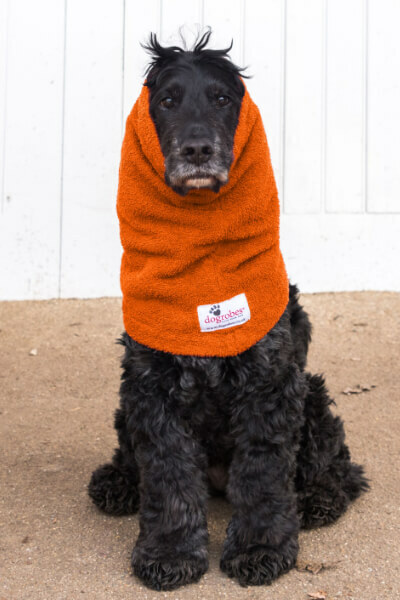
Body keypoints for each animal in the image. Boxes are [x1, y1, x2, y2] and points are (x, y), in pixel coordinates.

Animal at [88, 31, 368, 592]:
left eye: (221, 98)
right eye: (167, 100)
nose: (197, 149)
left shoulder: (270, 384)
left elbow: (262, 476)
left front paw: (261, 550)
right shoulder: (151, 387)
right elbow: (169, 477)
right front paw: (170, 553)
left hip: (312, 393)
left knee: (343, 469)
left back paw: (319, 498)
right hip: (125, 404)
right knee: (134, 458)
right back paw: (117, 481)